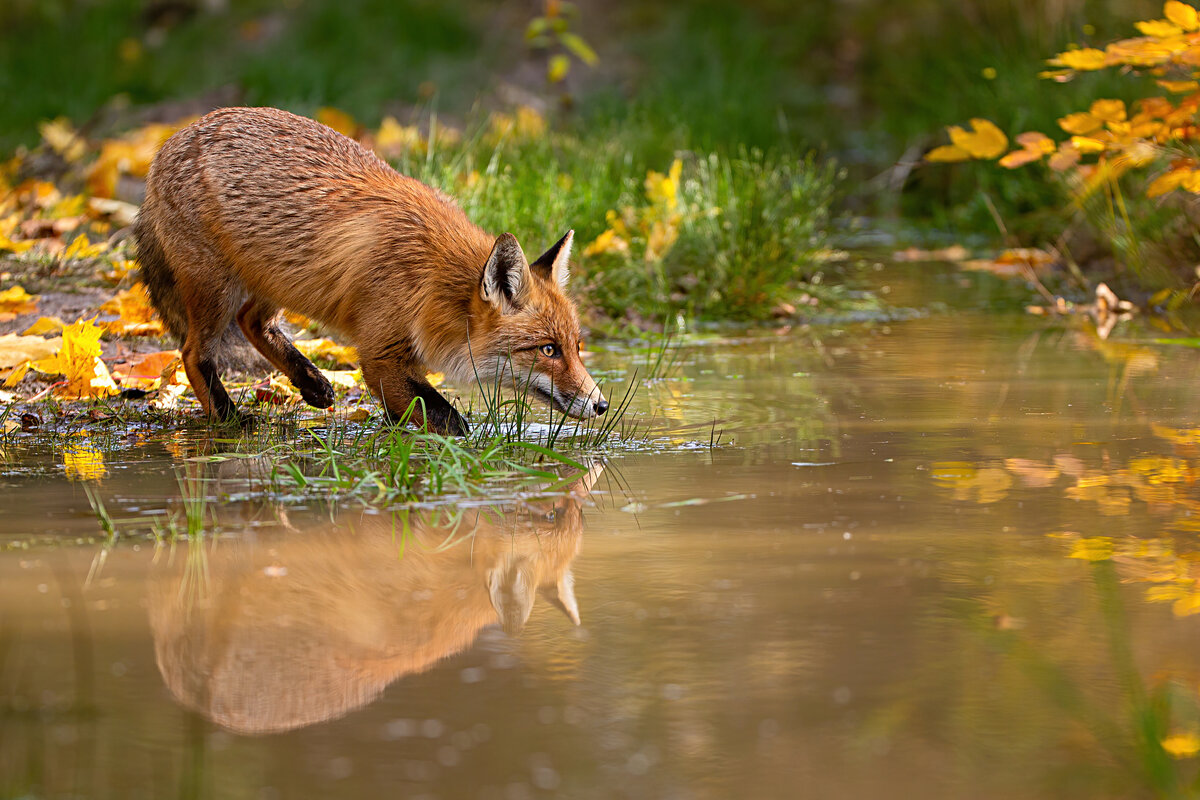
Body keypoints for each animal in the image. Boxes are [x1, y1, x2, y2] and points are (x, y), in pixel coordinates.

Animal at [133, 107, 609, 434]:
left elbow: (416, 412)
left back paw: (311, 383)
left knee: (252, 322)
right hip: (215, 288)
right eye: (548, 350)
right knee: (194, 352)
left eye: (577, 346)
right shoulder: (379, 355)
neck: (432, 281)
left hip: (279, 280)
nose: (602, 405)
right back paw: (230, 418)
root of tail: (171, 140)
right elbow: (447, 418)